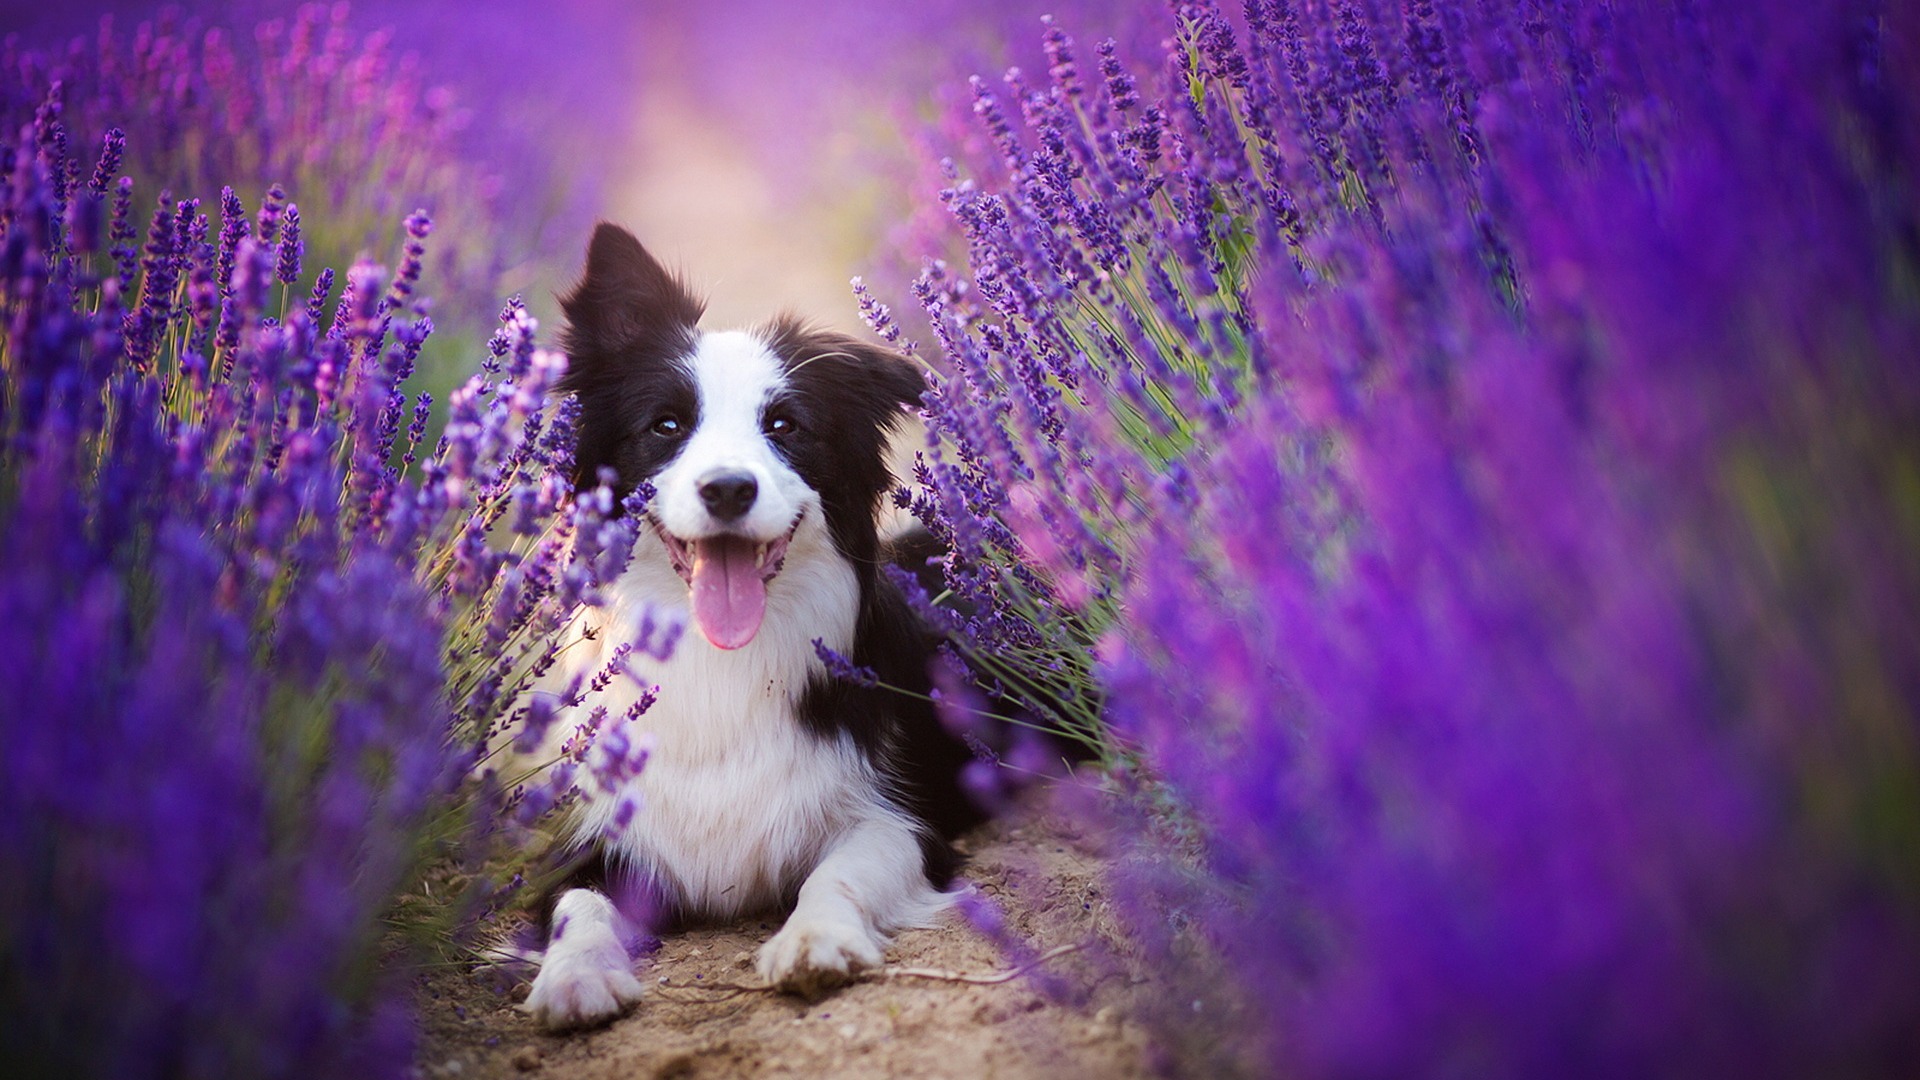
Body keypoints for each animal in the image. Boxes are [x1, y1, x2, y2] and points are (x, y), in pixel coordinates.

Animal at [518, 224, 983, 1022]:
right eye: (666, 425)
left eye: (784, 426)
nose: (729, 489)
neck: (723, 661)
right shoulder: (591, 838)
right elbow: (578, 905)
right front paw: (575, 976)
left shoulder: (902, 818)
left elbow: (839, 870)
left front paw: (815, 940)